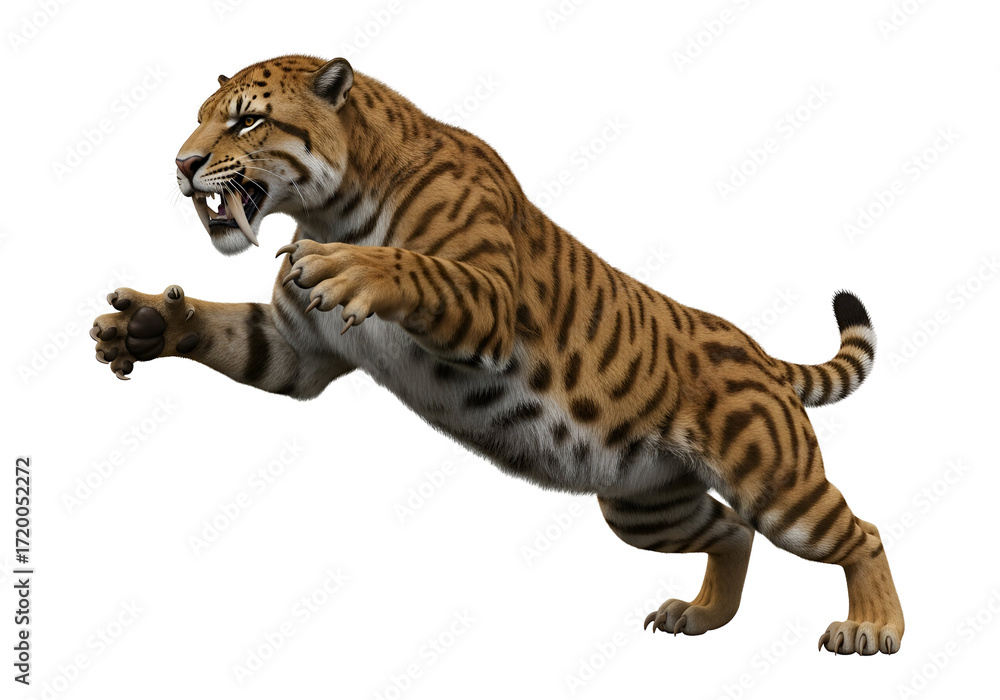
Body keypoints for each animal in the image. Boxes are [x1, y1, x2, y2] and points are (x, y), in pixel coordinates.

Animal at [91, 54, 903, 655]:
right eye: (199, 119)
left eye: (246, 120)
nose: (181, 164)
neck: (328, 203)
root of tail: (760, 351)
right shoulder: (297, 352)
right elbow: (224, 329)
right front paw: (142, 325)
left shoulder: (487, 297)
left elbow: (417, 269)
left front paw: (349, 266)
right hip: (645, 508)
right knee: (733, 531)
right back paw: (700, 616)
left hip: (776, 485)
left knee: (858, 532)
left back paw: (873, 629)